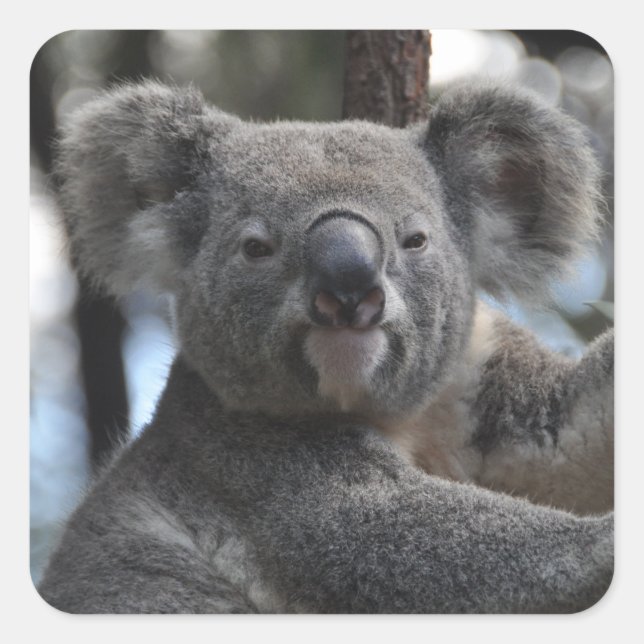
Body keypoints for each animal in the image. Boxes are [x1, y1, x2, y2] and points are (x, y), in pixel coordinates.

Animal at [37, 80, 613, 613]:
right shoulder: (242, 460)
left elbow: (567, 425)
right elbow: (384, 538)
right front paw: (605, 542)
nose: (349, 290)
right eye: (256, 248)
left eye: (415, 240)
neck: (401, 418)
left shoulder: (477, 369)